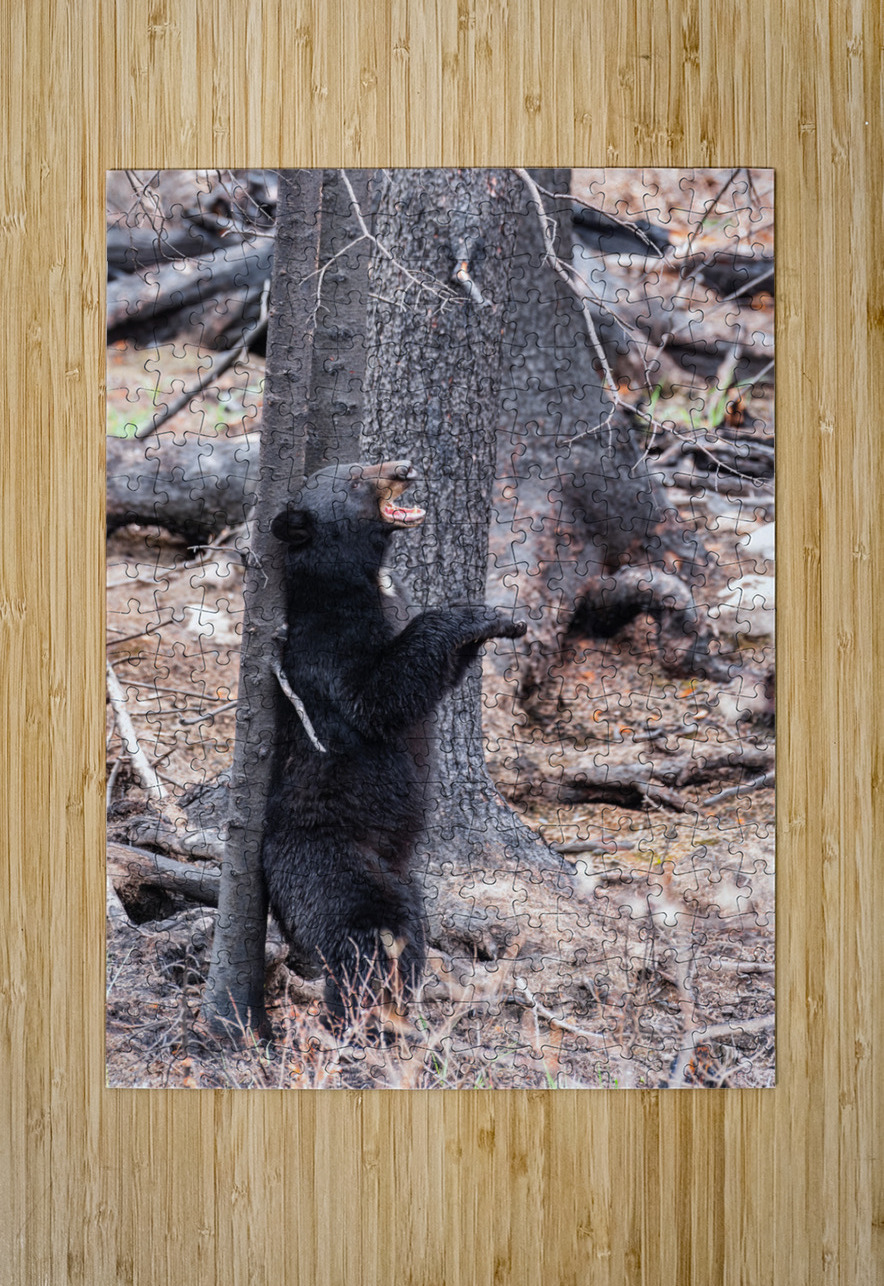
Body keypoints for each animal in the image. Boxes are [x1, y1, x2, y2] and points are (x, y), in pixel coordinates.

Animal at [262, 459, 526, 1027]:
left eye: (361, 459)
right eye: (355, 476)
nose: (405, 467)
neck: (359, 581)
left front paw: (503, 618)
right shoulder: (329, 652)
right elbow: (380, 696)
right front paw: (472, 615)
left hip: (405, 881)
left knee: (408, 935)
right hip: (335, 867)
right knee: (365, 938)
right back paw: (365, 1019)